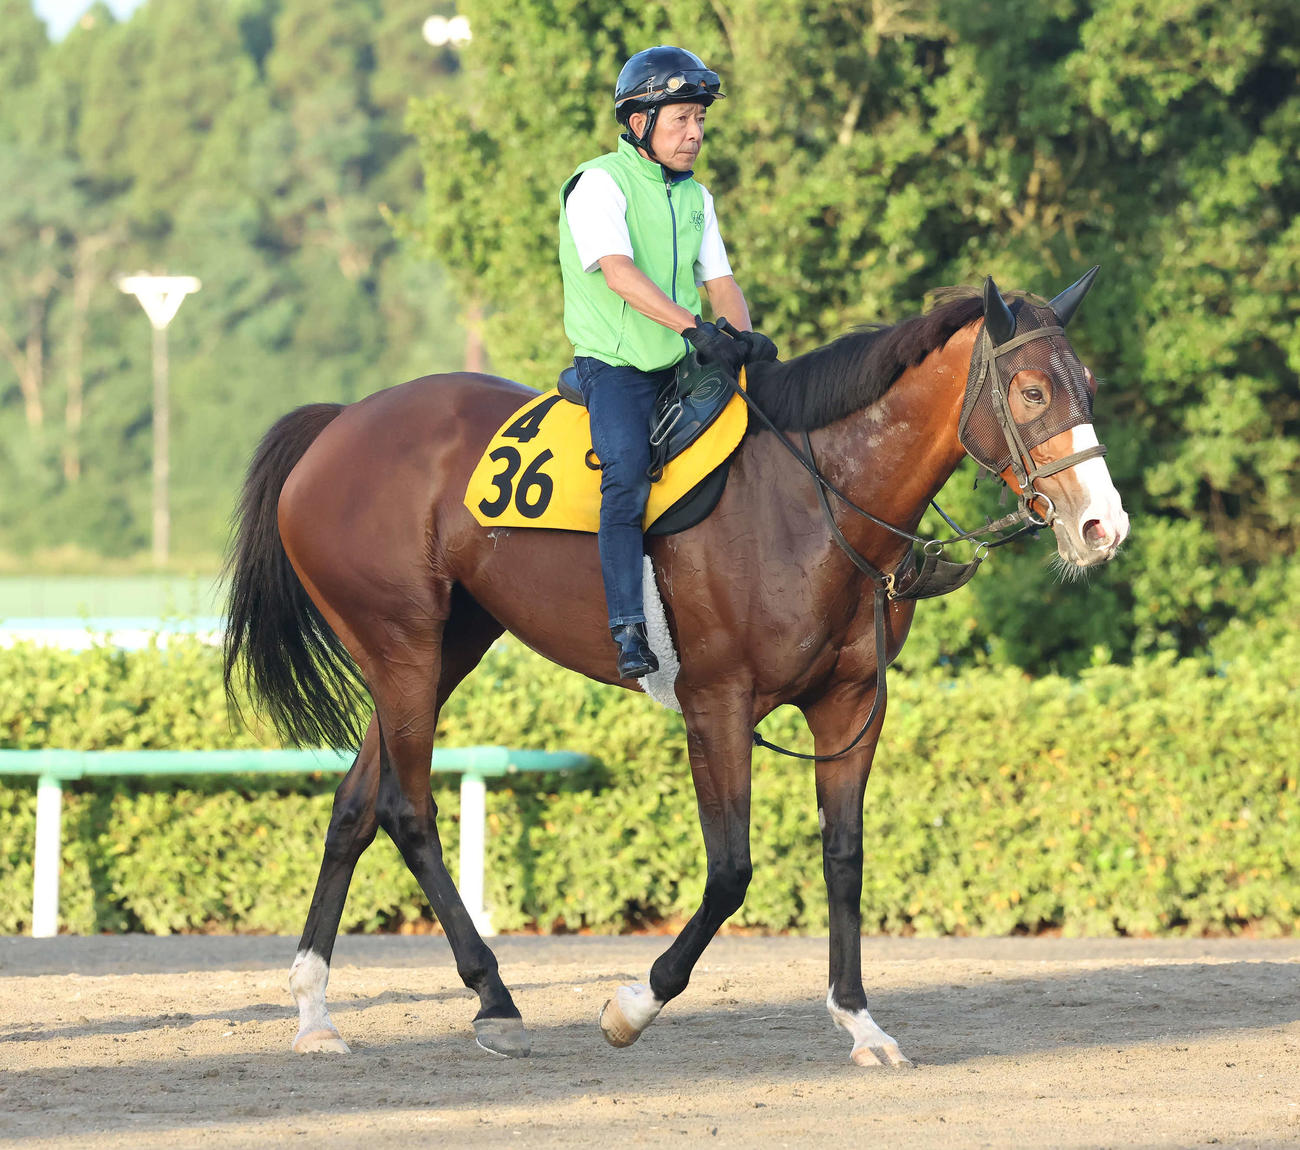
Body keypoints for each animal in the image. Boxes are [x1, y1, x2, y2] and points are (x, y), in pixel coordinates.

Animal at [223, 271, 1129, 1067]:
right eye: (1031, 393)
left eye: (1085, 384)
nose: (1102, 526)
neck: (811, 498)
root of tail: (341, 424)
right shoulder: (716, 705)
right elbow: (730, 873)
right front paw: (634, 1004)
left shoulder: (847, 705)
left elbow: (844, 857)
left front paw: (860, 1022)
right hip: (403, 648)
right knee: (407, 810)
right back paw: (494, 999)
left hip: (439, 652)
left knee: (354, 805)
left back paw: (314, 1009)